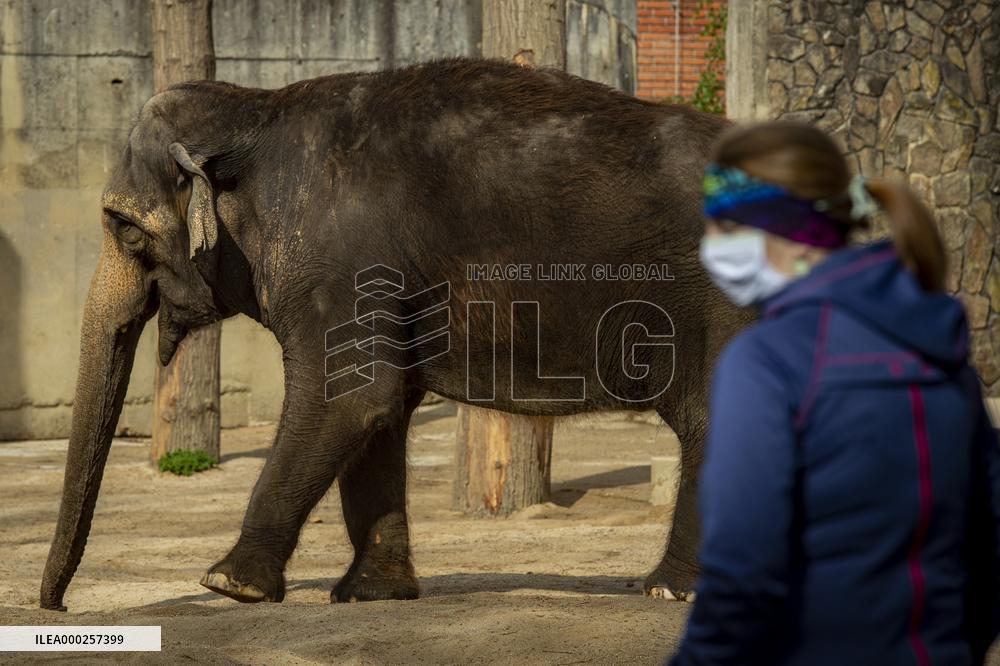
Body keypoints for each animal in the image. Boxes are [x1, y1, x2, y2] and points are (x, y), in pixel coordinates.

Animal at [40, 57, 753, 611]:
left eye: (124, 228)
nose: (57, 606)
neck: (254, 106)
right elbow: (379, 412)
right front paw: (371, 594)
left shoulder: (344, 269)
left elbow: (350, 400)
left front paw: (226, 584)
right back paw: (680, 589)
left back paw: (672, 591)